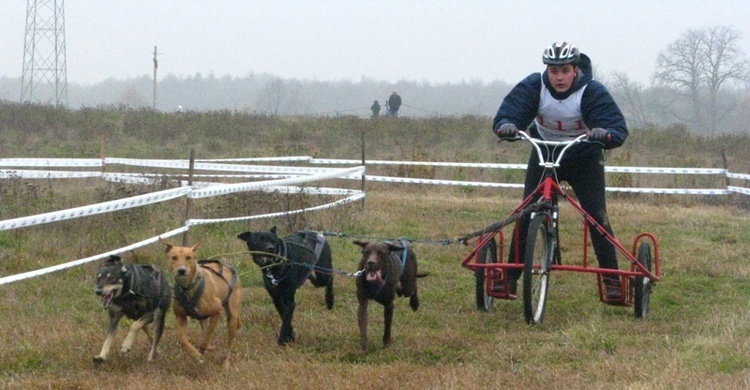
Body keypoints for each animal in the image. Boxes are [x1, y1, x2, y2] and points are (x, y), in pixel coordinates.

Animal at [161, 236, 244, 370]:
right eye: (174, 257)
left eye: (189, 257)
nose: (181, 270)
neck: (187, 289)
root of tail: (229, 267)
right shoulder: (180, 317)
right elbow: (182, 339)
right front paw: (194, 354)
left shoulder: (217, 312)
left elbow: (206, 338)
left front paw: (201, 351)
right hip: (203, 317)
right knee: (204, 329)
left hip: (232, 316)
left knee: (228, 342)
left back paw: (226, 362)